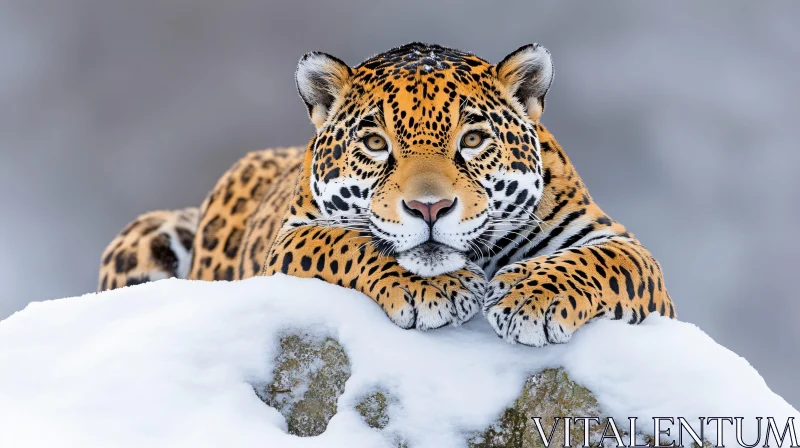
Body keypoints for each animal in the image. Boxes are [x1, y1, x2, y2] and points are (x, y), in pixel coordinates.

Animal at [100, 43, 676, 346]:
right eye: (376, 143)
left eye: (472, 140)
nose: (430, 208)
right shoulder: (290, 239)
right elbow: (348, 244)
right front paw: (436, 289)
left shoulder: (620, 243)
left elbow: (600, 263)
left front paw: (531, 299)